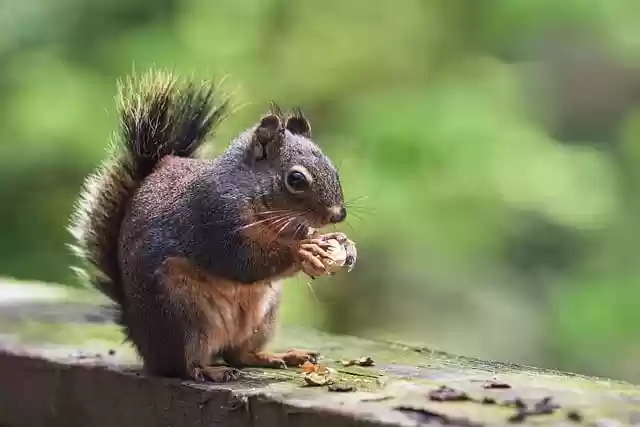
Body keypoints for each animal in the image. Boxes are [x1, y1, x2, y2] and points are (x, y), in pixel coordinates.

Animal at [68, 70, 356, 382]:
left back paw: (278, 356)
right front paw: (303, 250)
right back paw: (209, 370)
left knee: (239, 354)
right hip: (183, 314)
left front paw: (341, 243)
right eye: (296, 179)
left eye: (333, 168)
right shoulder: (214, 218)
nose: (338, 214)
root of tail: (143, 343)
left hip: (263, 315)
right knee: (185, 365)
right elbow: (244, 261)